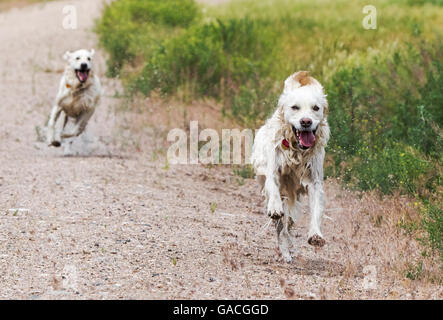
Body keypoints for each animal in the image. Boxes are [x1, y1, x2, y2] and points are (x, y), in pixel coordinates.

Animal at [251, 70, 332, 262]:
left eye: (316, 108)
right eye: (295, 107)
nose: (306, 122)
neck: (297, 150)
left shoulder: (314, 182)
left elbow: (316, 210)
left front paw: (316, 235)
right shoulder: (273, 172)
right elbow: (273, 190)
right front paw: (275, 208)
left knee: (289, 224)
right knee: (281, 227)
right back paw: (284, 251)